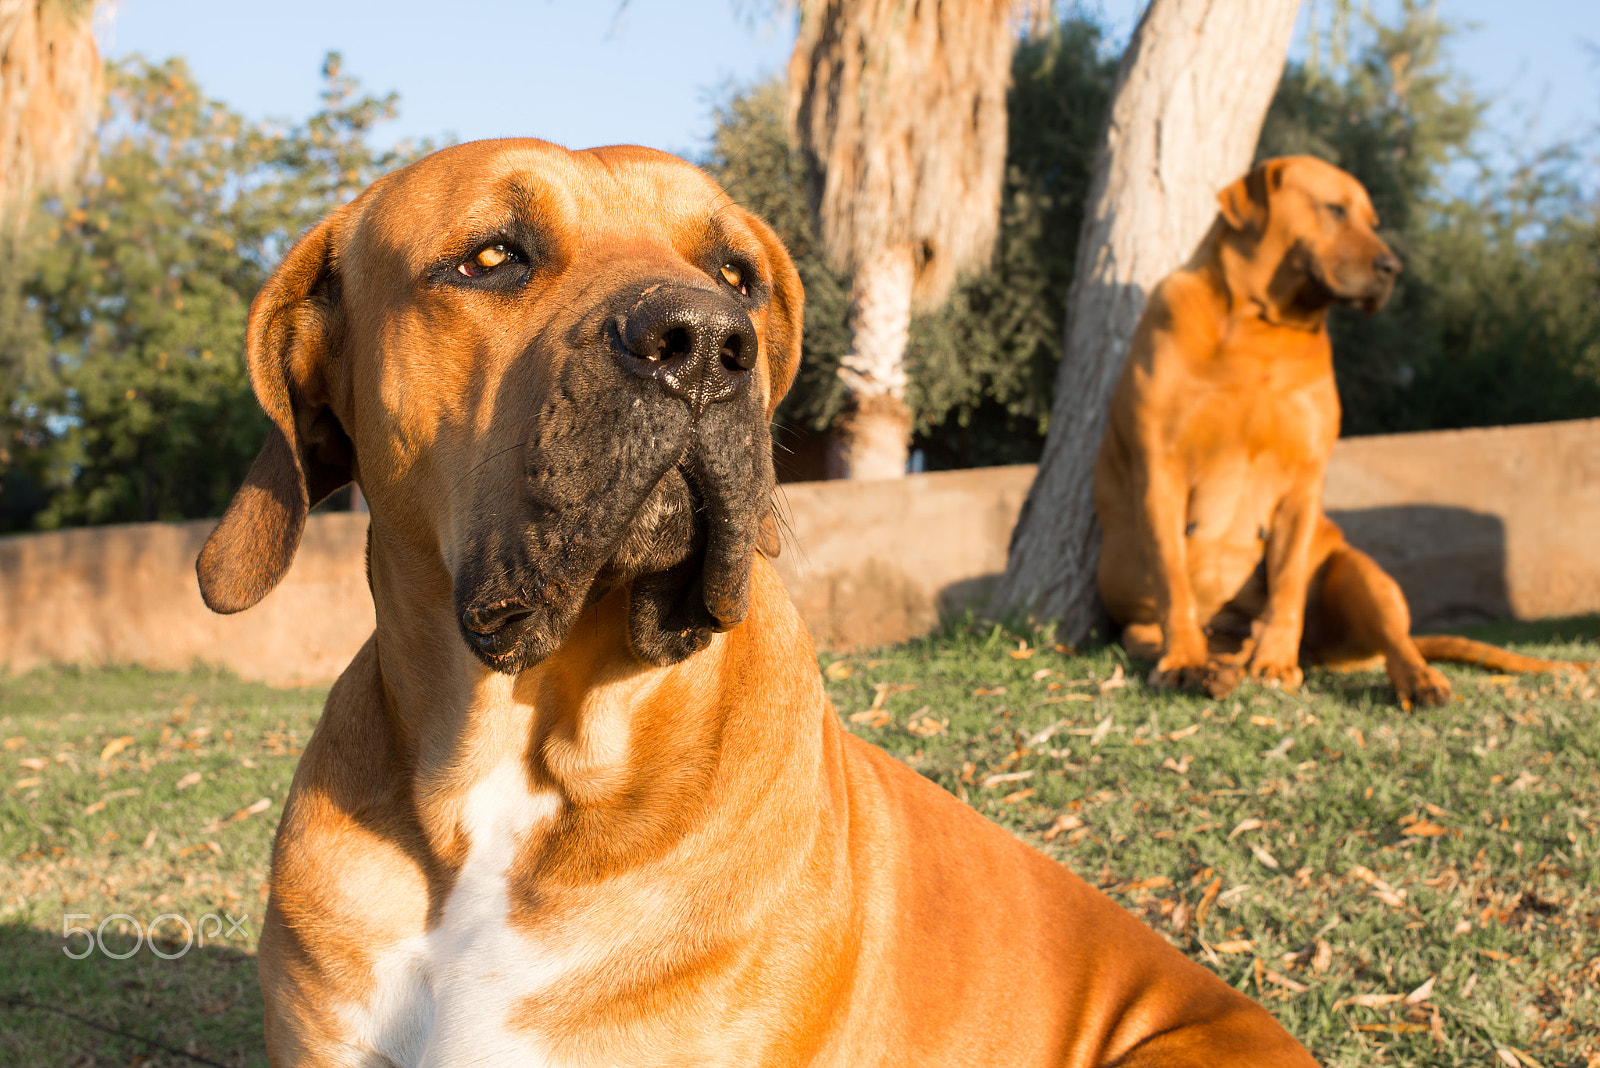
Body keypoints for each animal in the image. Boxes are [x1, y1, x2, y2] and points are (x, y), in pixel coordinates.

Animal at [1094, 156, 1580, 709]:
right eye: (1335, 209)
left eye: (1373, 221)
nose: (1392, 268)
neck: (1257, 327)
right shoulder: (1161, 468)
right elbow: (1173, 577)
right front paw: (1183, 661)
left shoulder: (1303, 480)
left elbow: (1286, 583)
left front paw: (1274, 663)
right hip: (1137, 622)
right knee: (1171, 632)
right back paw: (1213, 667)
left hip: (1363, 577)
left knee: (1397, 639)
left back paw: (1413, 679)